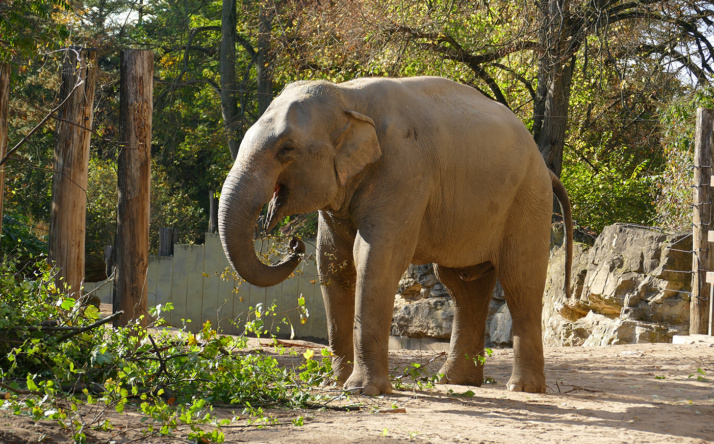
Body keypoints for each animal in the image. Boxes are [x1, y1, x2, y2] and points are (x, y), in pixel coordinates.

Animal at [217, 76, 572, 396]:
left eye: (286, 149)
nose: (293, 244)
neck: (347, 96)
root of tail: (545, 166)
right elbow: (334, 264)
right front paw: (335, 384)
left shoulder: (403, 172)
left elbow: (375, 258)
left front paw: (362, 390)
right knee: (464, 284)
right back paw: (454, 382)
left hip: (528, 200)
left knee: (519, 279)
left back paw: (522, 387)